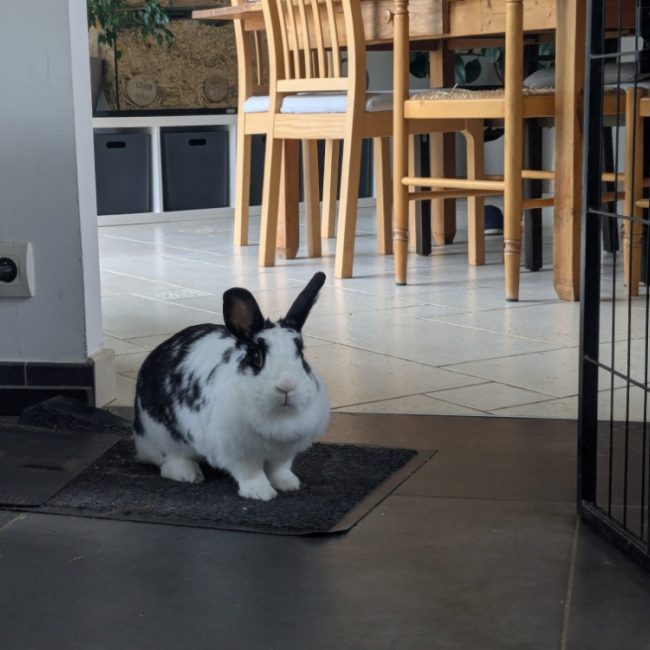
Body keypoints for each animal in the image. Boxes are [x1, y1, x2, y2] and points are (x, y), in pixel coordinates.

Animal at [132, 272, 330, 501]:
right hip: (166, 436)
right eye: (257, 356)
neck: (277, 414)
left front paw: (289, 484)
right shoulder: (238, 451)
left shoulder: (284, 452)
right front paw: (261, 492)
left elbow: (279, 468)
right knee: (170, 461)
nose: (286, 387)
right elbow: (251, 472)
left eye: (302, 355)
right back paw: (189, 474)